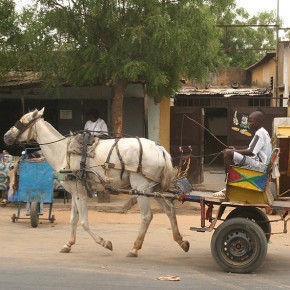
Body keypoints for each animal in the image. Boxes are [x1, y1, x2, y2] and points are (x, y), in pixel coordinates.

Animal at [4, 108, 190, 256]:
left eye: (22, 121)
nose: (6, 136)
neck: (64, 152)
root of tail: (161, 150)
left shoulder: (80, 192)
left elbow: (84, 222)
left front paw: (105, 242)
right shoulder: (75, 191)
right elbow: (73, 219)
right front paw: (68, 244)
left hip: (141, 188)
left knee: (146, 216)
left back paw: (135, 248)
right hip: (155, 188)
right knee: (169, 210)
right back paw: (181, 241)